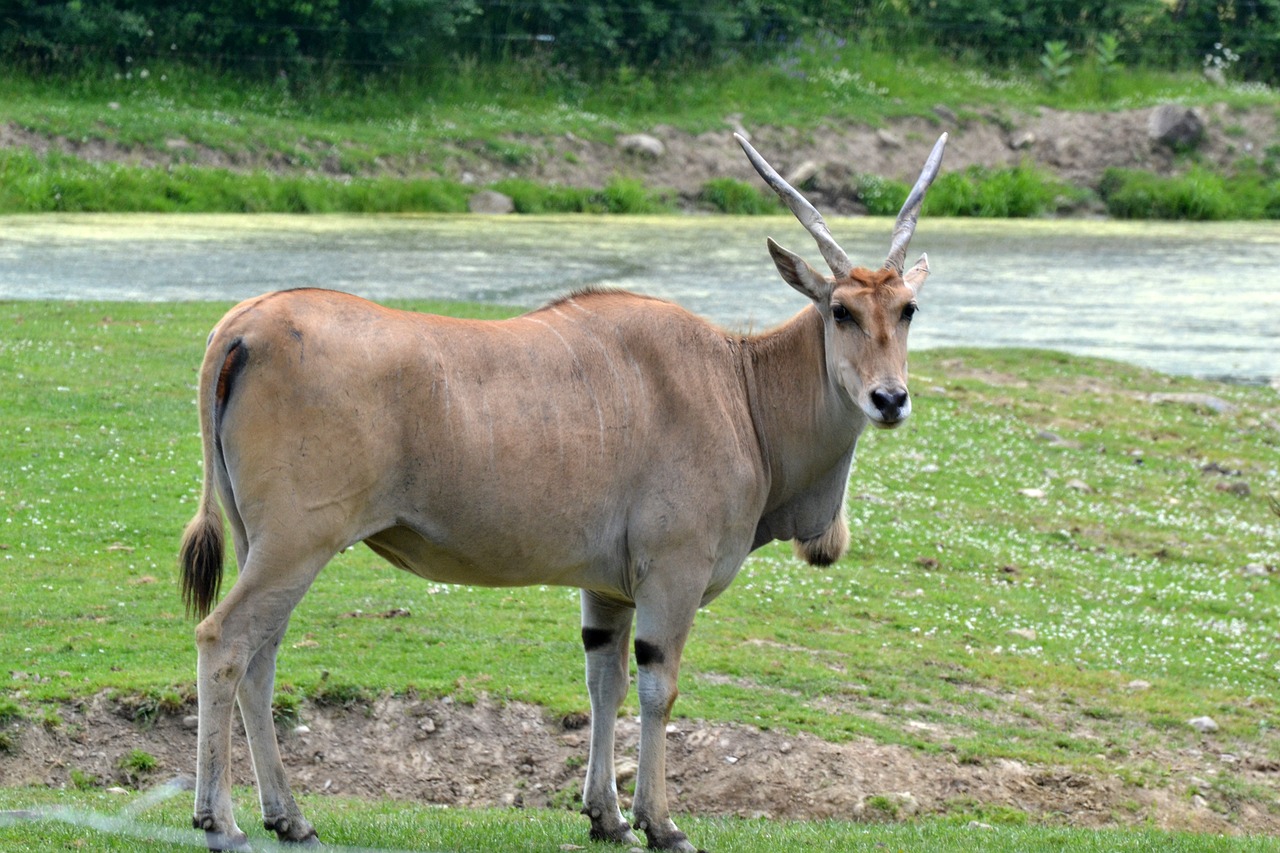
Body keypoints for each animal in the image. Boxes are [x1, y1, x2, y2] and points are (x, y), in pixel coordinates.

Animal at [177, 129, 942, 845]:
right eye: (840, 310)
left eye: (907, 309)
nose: (889, 399)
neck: (739, 384)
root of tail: (241, 327)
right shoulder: (673, 574)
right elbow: (658, 688)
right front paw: (661, 823)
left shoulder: (608, 590)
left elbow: (604, 683)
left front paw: (606, 817)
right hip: (298, 542)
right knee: (223, 639)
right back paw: (221, 820)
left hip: (261, 543)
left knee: (260, 657)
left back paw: (289, 818)